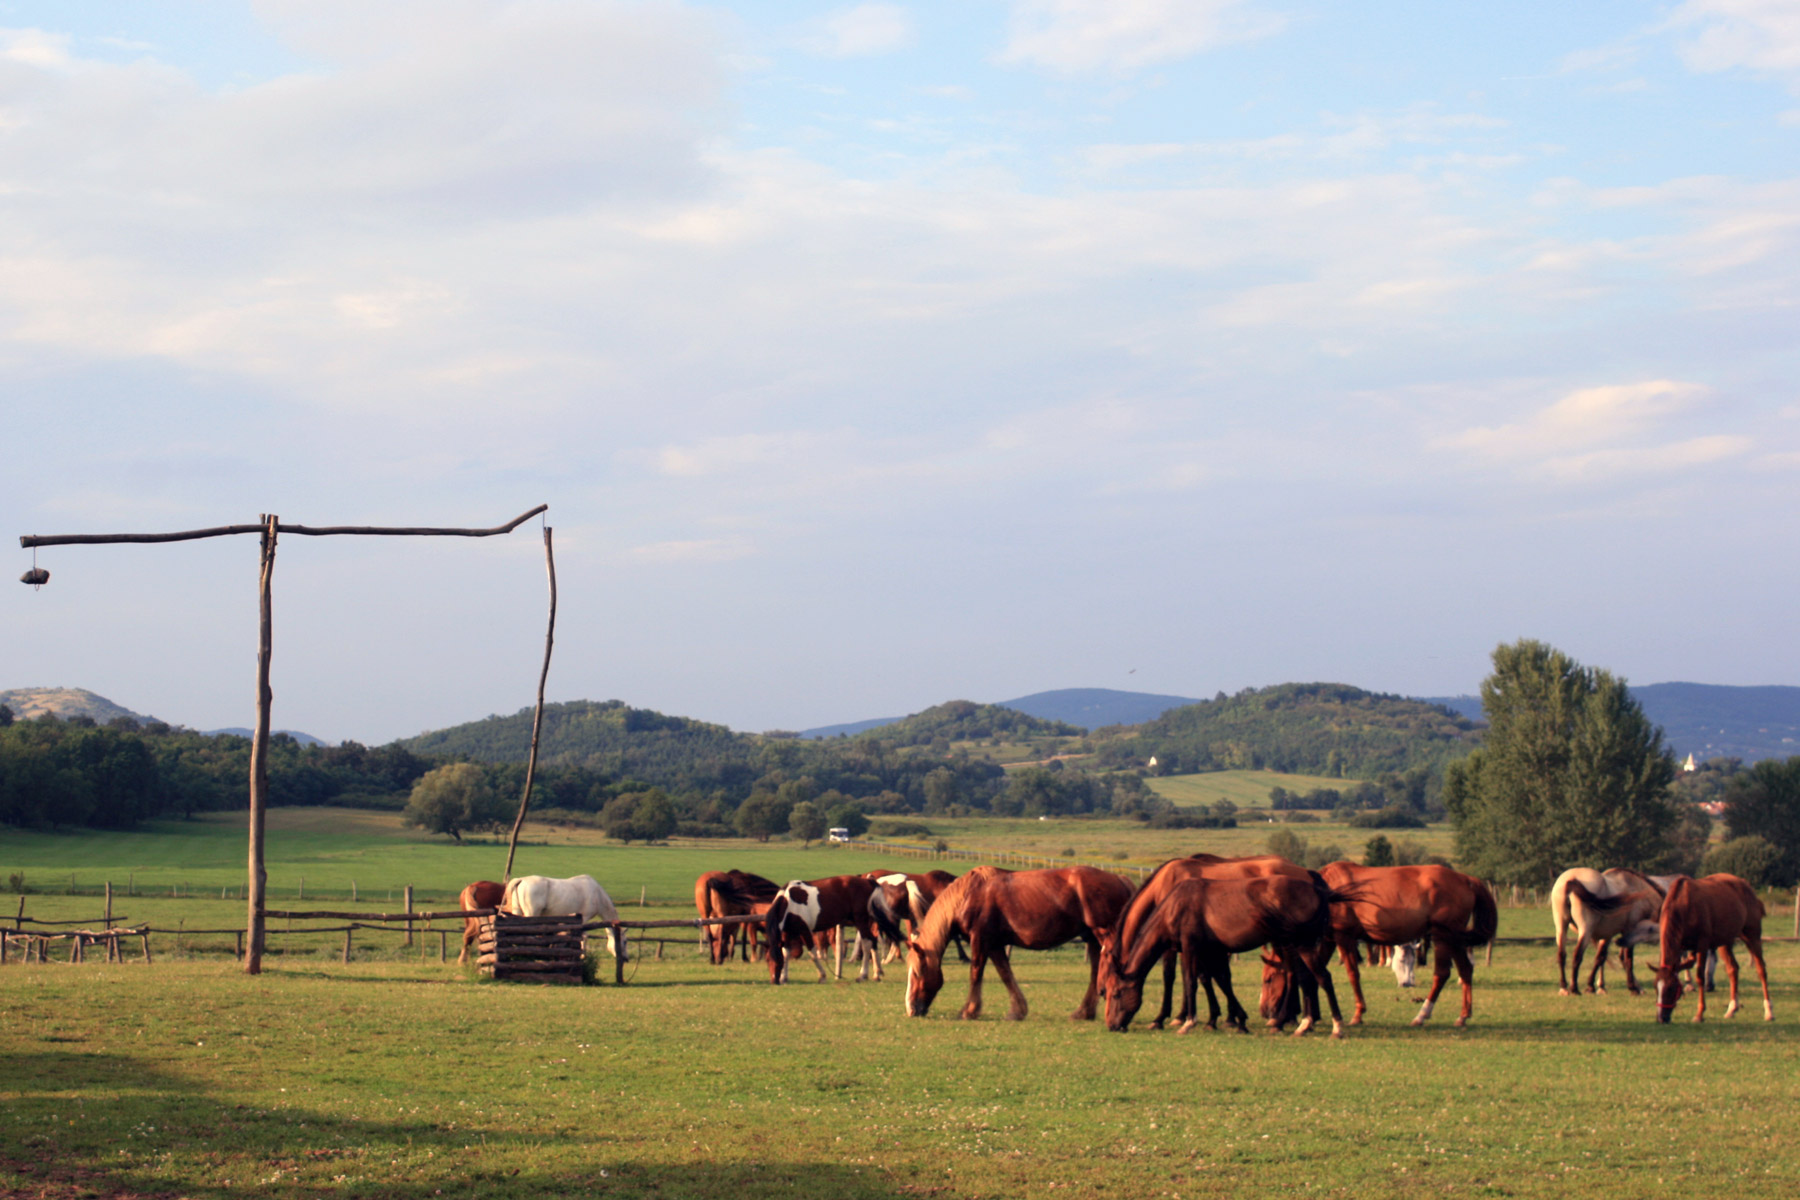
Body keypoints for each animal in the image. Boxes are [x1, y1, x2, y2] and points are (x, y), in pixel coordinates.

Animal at [907, 863, 1130, 1021]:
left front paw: (968, 1011)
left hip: (1102, 935)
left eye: (918, 972)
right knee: (1096, 970)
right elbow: (1006, 974)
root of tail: (1119, 878)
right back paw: (1084, 1012)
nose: (910, 1009)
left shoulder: (980, 940)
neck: (968, 895)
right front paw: (1017, 1010)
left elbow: (975, 973)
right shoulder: (994, 944)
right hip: (1091, 937)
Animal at [1101, 852, 1346, 1036]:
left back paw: (1287, 1020)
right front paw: (1221, 1018)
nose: (1110, 1024)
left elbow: (1176, 977)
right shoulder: (1207, 948)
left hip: (1288, 941)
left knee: (1295, 974)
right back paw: (1298, 1020)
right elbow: (1214, 978)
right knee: (1303, 975)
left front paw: (1167, 1018)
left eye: (1116, 993)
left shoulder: (1179, 947)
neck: (1165, 886)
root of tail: (1309, 875)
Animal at [1267, 863, 1504, 1036]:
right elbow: (1315, 974)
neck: (1322, 890)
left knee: (1442, 974)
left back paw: (1421, 1015)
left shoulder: (1344, 937)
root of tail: (1467, 880)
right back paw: (1463, 1016)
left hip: (1443, 936)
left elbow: (1352, 974)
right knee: (1465, 969)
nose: (1269, 1014)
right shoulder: (1328, 938)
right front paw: (1310, 1019)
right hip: (1453, 937)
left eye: (1269, 979)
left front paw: (1358, 1014)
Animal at [1548, 867, 1656, 1000]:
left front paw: (1598, 987)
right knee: (1577, 955)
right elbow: (1624, 959)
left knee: (1561, 955)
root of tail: (1571, 878)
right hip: (1585, 930)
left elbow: (1602, 957)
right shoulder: (1622, 933)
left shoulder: (1606, 935)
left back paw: (1564, 987)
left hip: (1561, 926)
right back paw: (1575, 989)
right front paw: (1633, 988)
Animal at [1648, 874, 1771, 1021]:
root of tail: (1746, 886)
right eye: (1655, 987)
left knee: (1761, 969)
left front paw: (1699, 1013)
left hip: (1752, 936)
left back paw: (1769, 1011)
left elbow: (1700, 976)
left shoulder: (1702, 945)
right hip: (1724, 942)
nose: (1661, 1018)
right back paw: (1732, 1008)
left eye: (1671, 988)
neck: (1684, 904)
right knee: (1733, 969)